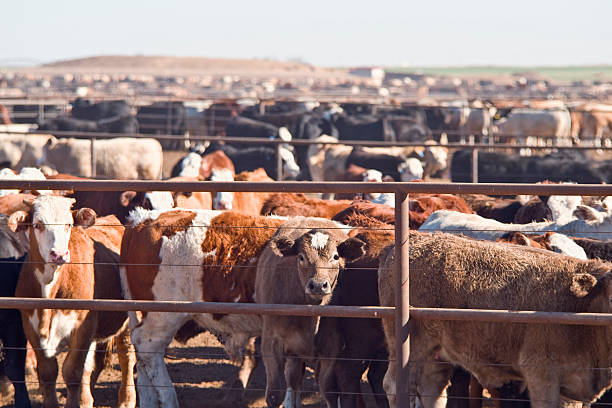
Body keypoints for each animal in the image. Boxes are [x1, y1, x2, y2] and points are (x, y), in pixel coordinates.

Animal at [10, 196, 135, 408]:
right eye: (38, 224)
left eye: (68, 224)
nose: (59, 254)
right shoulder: (30, 326)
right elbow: (48, 372)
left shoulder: (83, 326)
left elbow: (72, 371)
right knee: (90, 365)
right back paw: (86, 399)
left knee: (126, 356)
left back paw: (126, 400)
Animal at [253, 217, 364, 408]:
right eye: (301, 257)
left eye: (335, 256)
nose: (318, 285)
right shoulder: (271, 343)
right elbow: (275, 394)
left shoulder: (332, 348)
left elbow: (329, 390)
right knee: (293, 378)